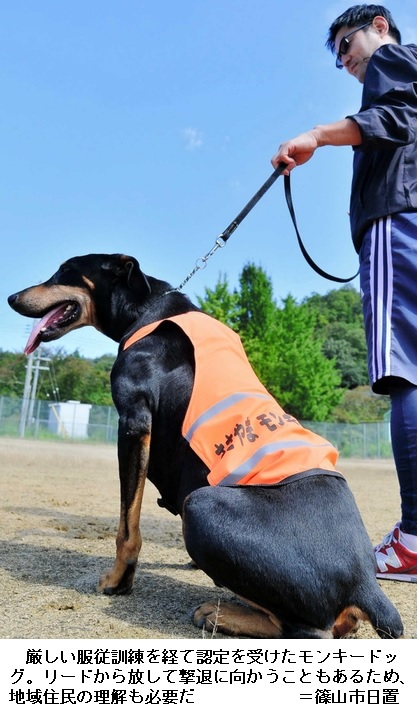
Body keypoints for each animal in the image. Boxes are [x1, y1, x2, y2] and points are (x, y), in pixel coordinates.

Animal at [8, 253, 403, 639]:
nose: (12, 298)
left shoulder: (134, 425)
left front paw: (117, 582)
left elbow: (127, 526)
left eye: (65, 271)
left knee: (307, 630)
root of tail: (365, 584)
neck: (149, 309)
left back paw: (219, 614)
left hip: (200, 506)